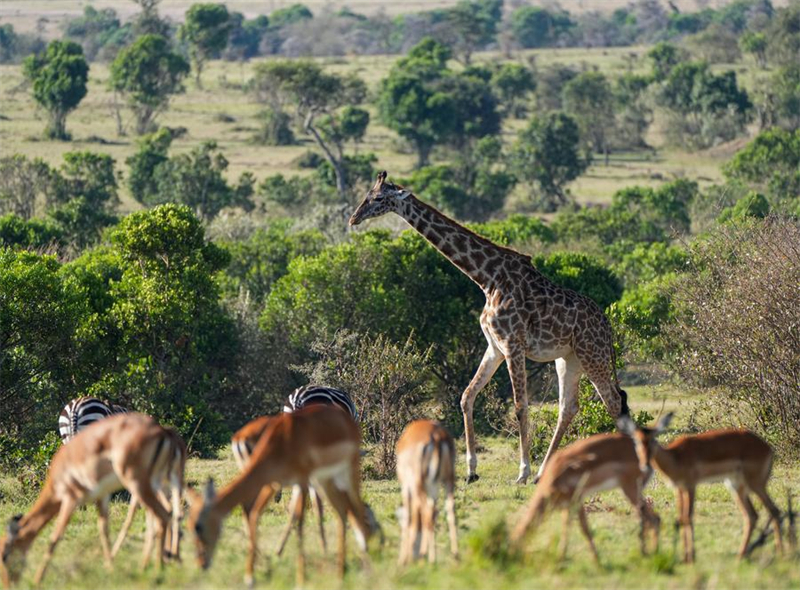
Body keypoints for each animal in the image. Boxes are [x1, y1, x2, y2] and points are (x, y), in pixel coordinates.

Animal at [349, 172, 629, 485]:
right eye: (367, 195)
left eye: (378, 198)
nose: (353, 218)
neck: (487, 278)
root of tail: (607, 326)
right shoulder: (494, 346)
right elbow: (466, 396)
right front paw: (471, 470)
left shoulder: (512, 344)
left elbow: (519, 407)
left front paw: (521, 472)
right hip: (568, 359)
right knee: (568, 408)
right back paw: (543, 473)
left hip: (592, 354)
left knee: (612, 401)